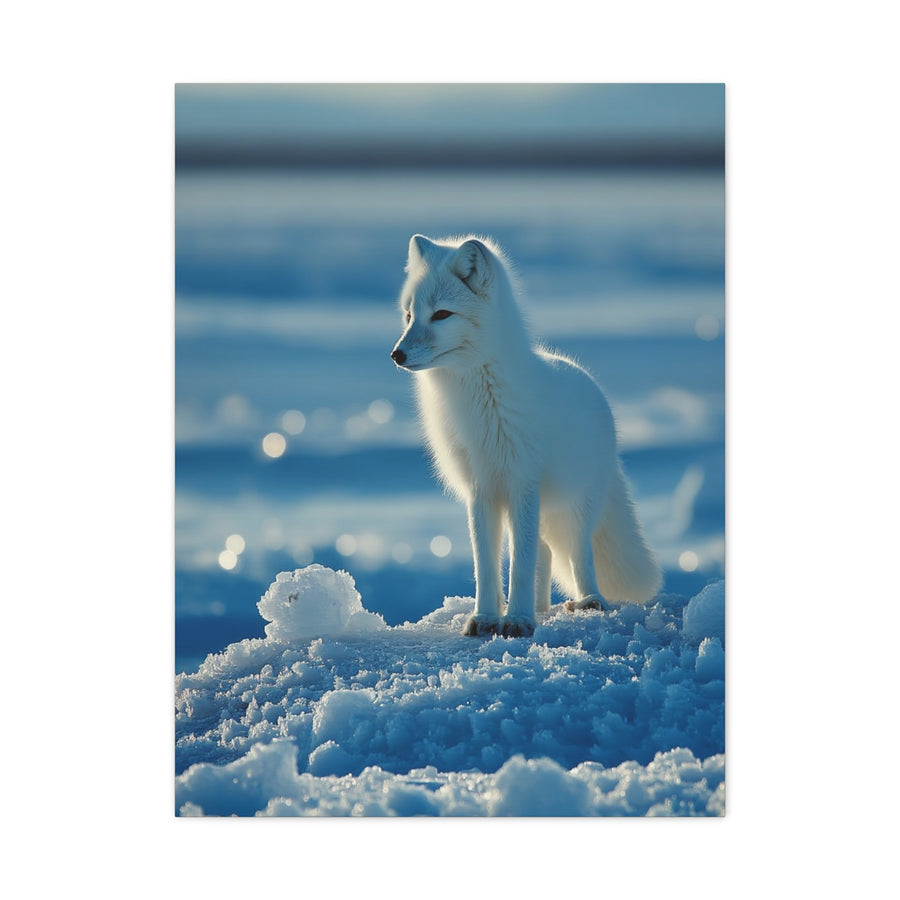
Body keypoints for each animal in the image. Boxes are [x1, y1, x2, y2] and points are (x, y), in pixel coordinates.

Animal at [390, 234, 662, 637]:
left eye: (441, 314)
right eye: (409, 315)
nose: (397, 354)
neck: (479, 398)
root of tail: (590, 382)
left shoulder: (522, 481)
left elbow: (519, 563)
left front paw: (517, 620)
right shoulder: (481, 489)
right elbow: (486, 564)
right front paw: (487, 617)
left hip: (575, 506)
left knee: (577, 555)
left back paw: (587, 601)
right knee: (544, 553)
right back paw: (542, 607)